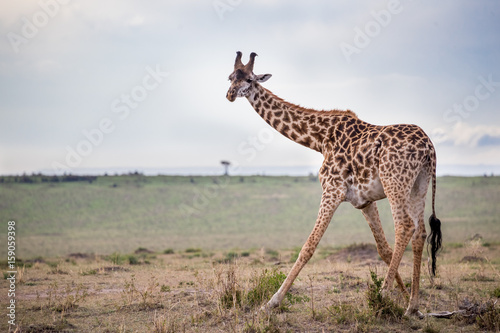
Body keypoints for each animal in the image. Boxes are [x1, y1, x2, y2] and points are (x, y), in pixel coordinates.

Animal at [227, 52, 442, 316]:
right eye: (229, 77)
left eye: (249, 78)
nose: (230, 94)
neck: (319, 139)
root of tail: (429, 147)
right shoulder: (364, 201)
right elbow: (383, 249)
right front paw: (402, 295)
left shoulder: (332, 189)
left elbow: (308, 246)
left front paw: (271, 302)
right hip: (419, 184)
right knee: (420, 232)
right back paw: (412, 306)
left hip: (395, 181)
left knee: (404, 226)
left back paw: (382, 295)